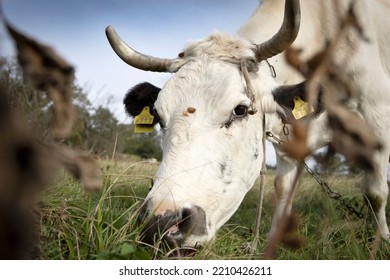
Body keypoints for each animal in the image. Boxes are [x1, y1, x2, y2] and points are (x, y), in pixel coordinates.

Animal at [105, 0, 390, 249]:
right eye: (158, 115)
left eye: (240, 110)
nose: (162, 223)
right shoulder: (288, 145)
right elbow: (283, 190)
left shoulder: (378, 119)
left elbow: (375, 193)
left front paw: (382, 241)